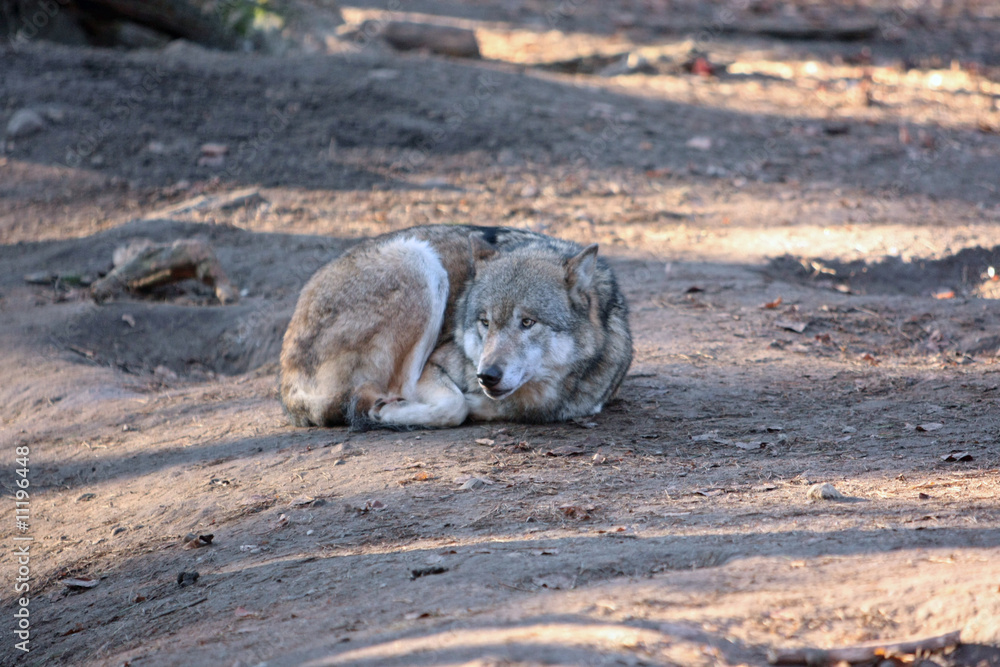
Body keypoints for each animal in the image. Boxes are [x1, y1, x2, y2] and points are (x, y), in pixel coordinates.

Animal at [279, 225, 632, 429]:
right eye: (485, 322)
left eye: (527, 322)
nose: (487, 375)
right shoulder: (435, 365)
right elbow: (456, 405)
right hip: (419, 261)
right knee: (387, 391)